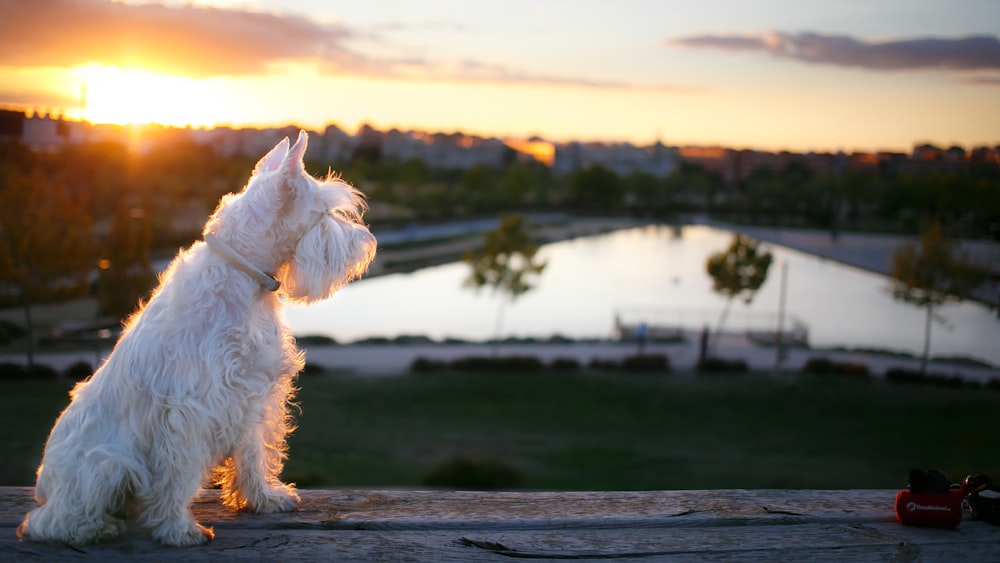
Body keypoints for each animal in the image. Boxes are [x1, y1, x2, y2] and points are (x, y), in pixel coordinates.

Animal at [17, 131, 376, 548]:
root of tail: (43, 485)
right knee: (50, 520)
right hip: (106, 463)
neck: (243, 277)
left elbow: (253, 453)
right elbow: (177, 475)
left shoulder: (250, 395)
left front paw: (263, 498)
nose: (366, 243)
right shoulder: (191, 409)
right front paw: (178, 529)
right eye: (324, 213)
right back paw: (95, 527)